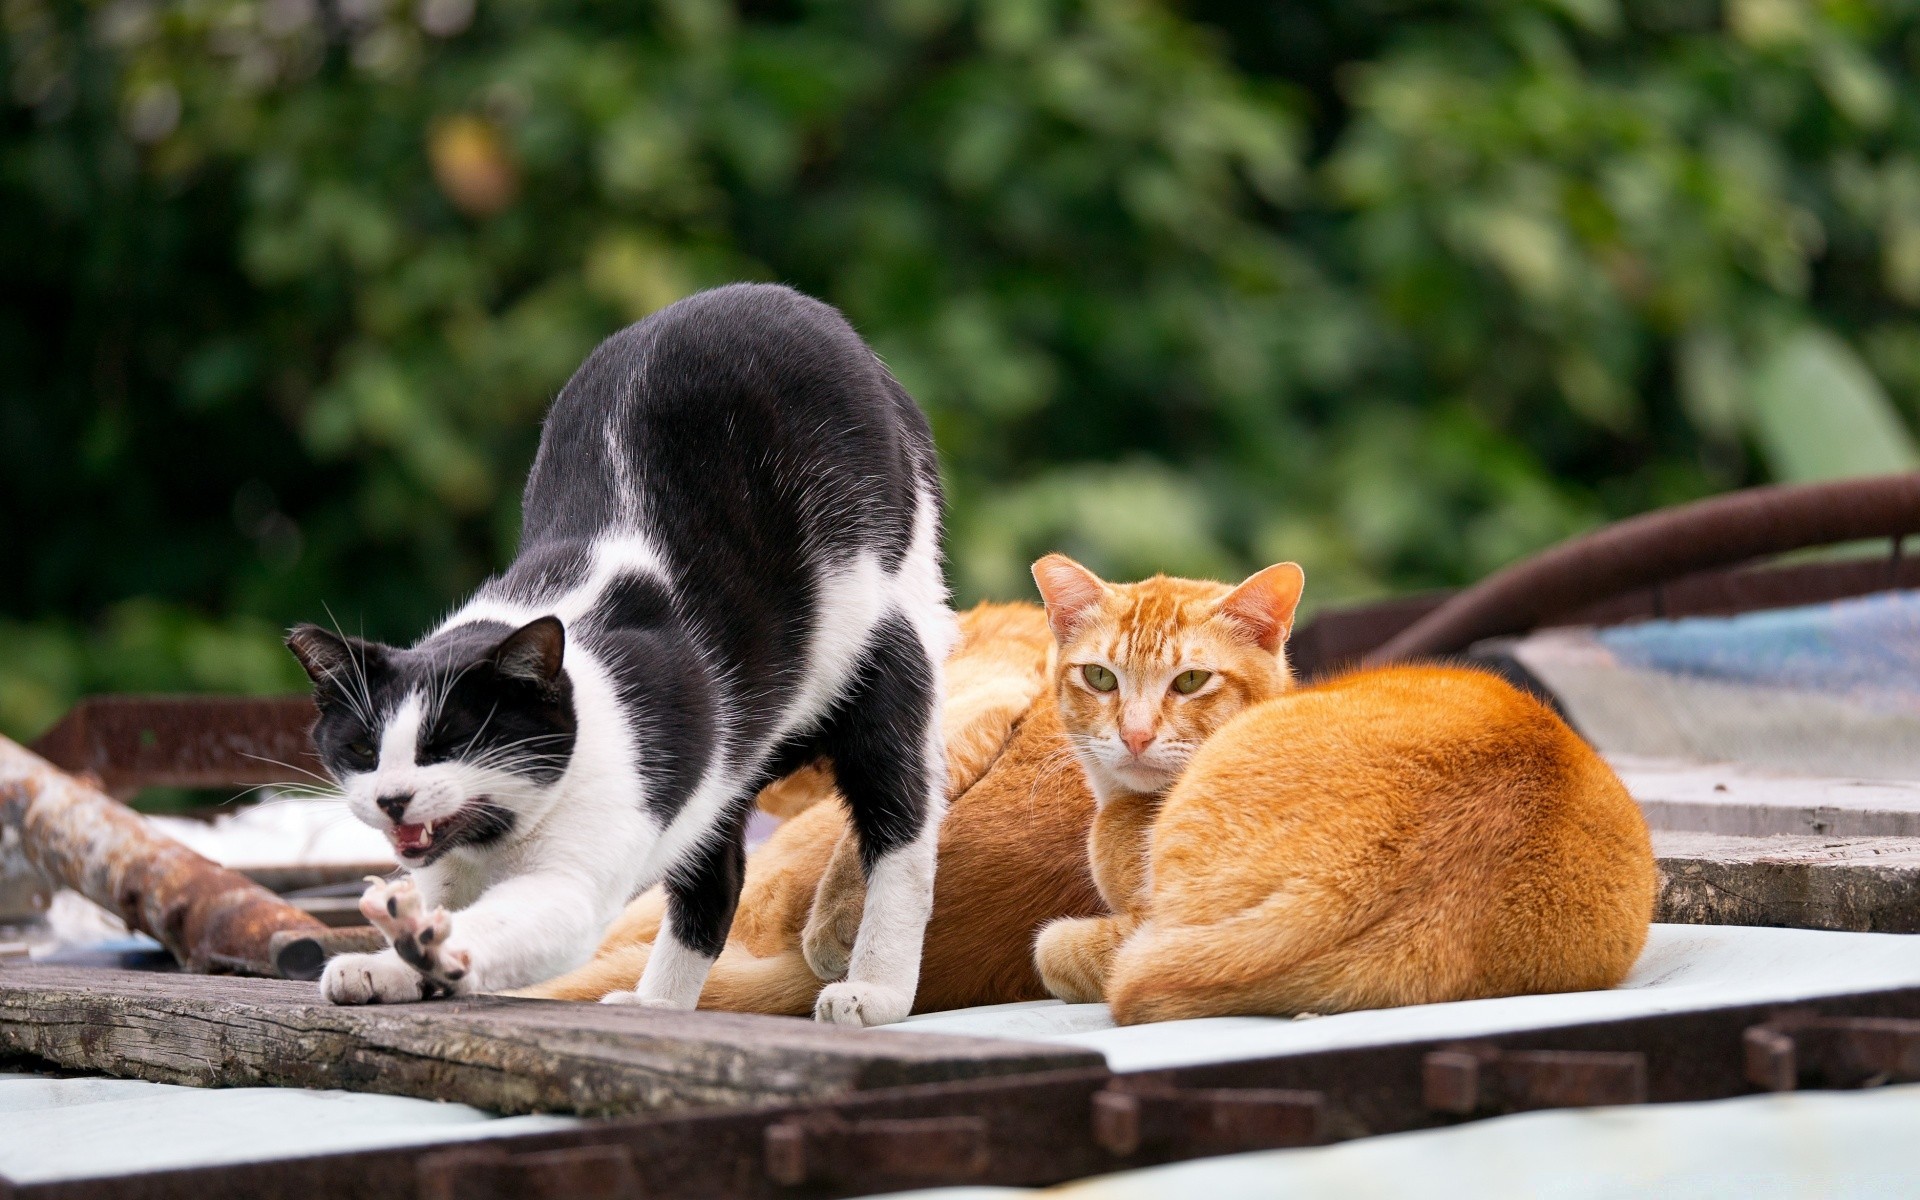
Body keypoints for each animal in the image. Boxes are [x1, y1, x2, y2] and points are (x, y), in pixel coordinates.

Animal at [289, 280, 952, 1021]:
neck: (498, 840)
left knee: (902, 822)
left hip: (887, 643)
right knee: (717, 876)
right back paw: (658, 1004)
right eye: (361, 749)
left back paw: (875, 989)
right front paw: (391, 967)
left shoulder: (585, 859)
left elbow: (510, 920)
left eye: (452, 741)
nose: (392, 798)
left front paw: (428, 950)